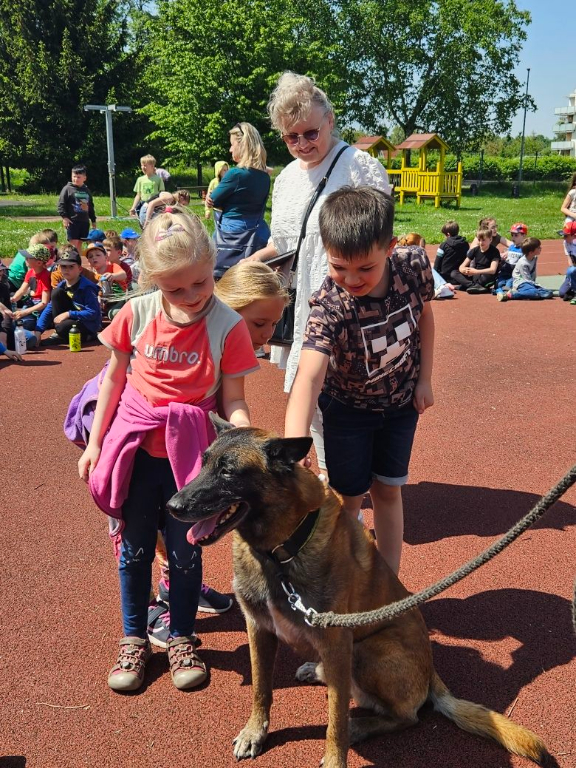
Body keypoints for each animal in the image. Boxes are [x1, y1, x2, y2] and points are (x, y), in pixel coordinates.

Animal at [167, 417, 549, 768]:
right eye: (203, 462)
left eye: (228, 471)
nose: (173, 506)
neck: (280, 550)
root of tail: (432, 673)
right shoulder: (259, 630)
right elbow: (262, 689)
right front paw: (254, 732)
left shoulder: (337, 641)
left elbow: (335, 722)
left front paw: (336, 756)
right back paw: (317, 672)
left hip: (370, 649)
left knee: (404, 716)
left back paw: (361, 724)